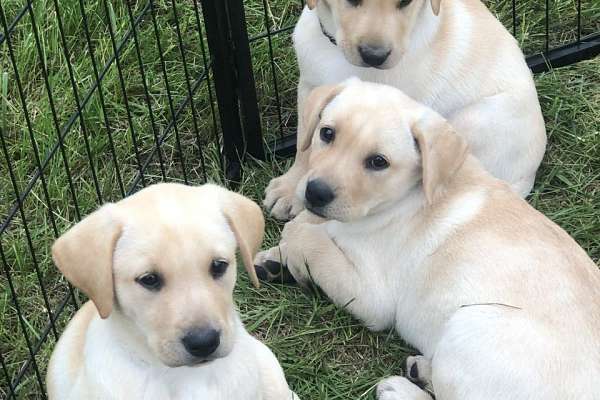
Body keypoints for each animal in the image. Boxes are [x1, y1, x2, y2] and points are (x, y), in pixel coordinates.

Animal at [255, 80, 600, 400]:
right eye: (327, 133)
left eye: (378, 162)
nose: (315, 192)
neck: (405, 195)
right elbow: (318, 233)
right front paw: (275, 259)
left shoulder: (371, 296)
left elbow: (316, 244)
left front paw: (295, 238)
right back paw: (422, 370)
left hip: (468, 324)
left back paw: (400, 389)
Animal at [264, 0, 548, 220]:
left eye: (406, 3)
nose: (375, 55)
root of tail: (527, 177)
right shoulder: (310, 88)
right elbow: (305, 145)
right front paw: (290, 188)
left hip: (471, 122)